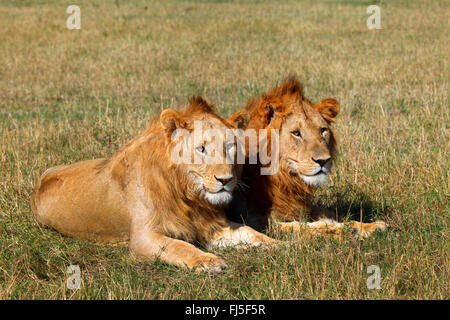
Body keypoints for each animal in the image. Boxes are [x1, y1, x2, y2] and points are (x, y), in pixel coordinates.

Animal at [29, 95, 276, 272]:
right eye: (201, 149)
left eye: (230, 146)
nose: (225, 180)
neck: (188, 196)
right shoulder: (143, 237)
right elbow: (180, 246)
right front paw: (209, 261)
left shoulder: (212, 227)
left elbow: (250, 232)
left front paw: (279, 245)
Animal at [227, 77, 388, 238]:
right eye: (296, 133)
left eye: (323, 130)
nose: (323, 160)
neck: (284, 180)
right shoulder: (255, 220)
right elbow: (300, 227)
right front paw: (340, 230)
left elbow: (333, 213)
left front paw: (372, 225)